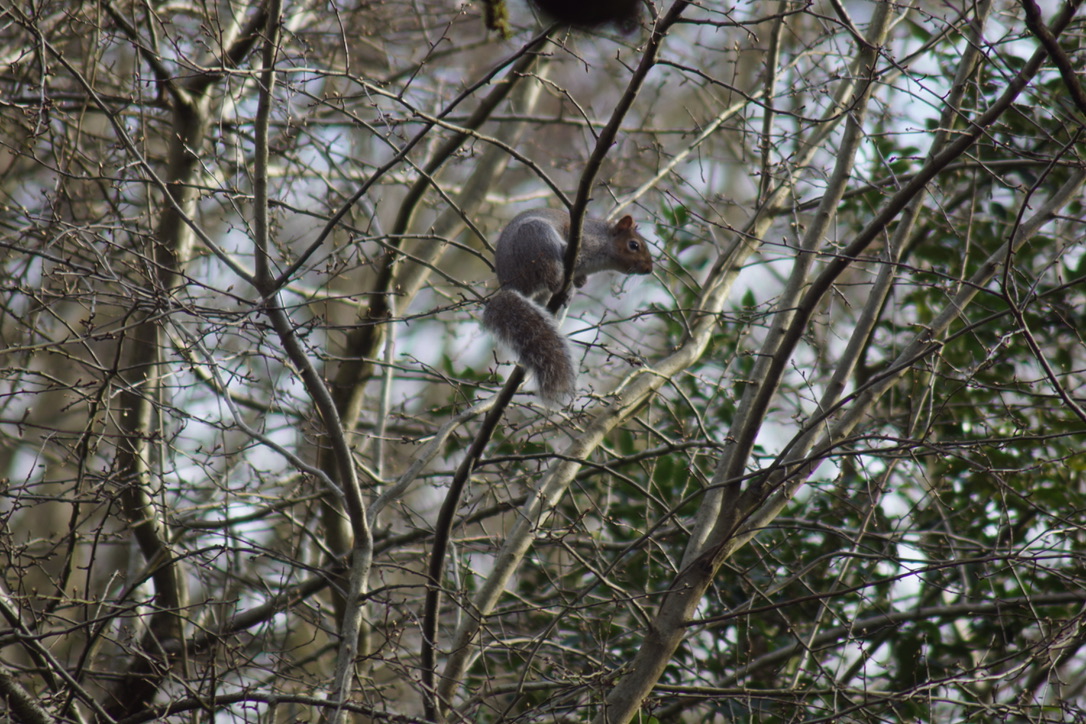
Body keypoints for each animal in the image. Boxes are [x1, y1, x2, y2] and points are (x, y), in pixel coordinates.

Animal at [486, 208, 651, 408]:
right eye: (634, 245)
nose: (649, 269)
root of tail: (512, 286)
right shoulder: (585, 241)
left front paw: (580, 282)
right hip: (538, 240)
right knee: (551, 275)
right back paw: (561, 284)